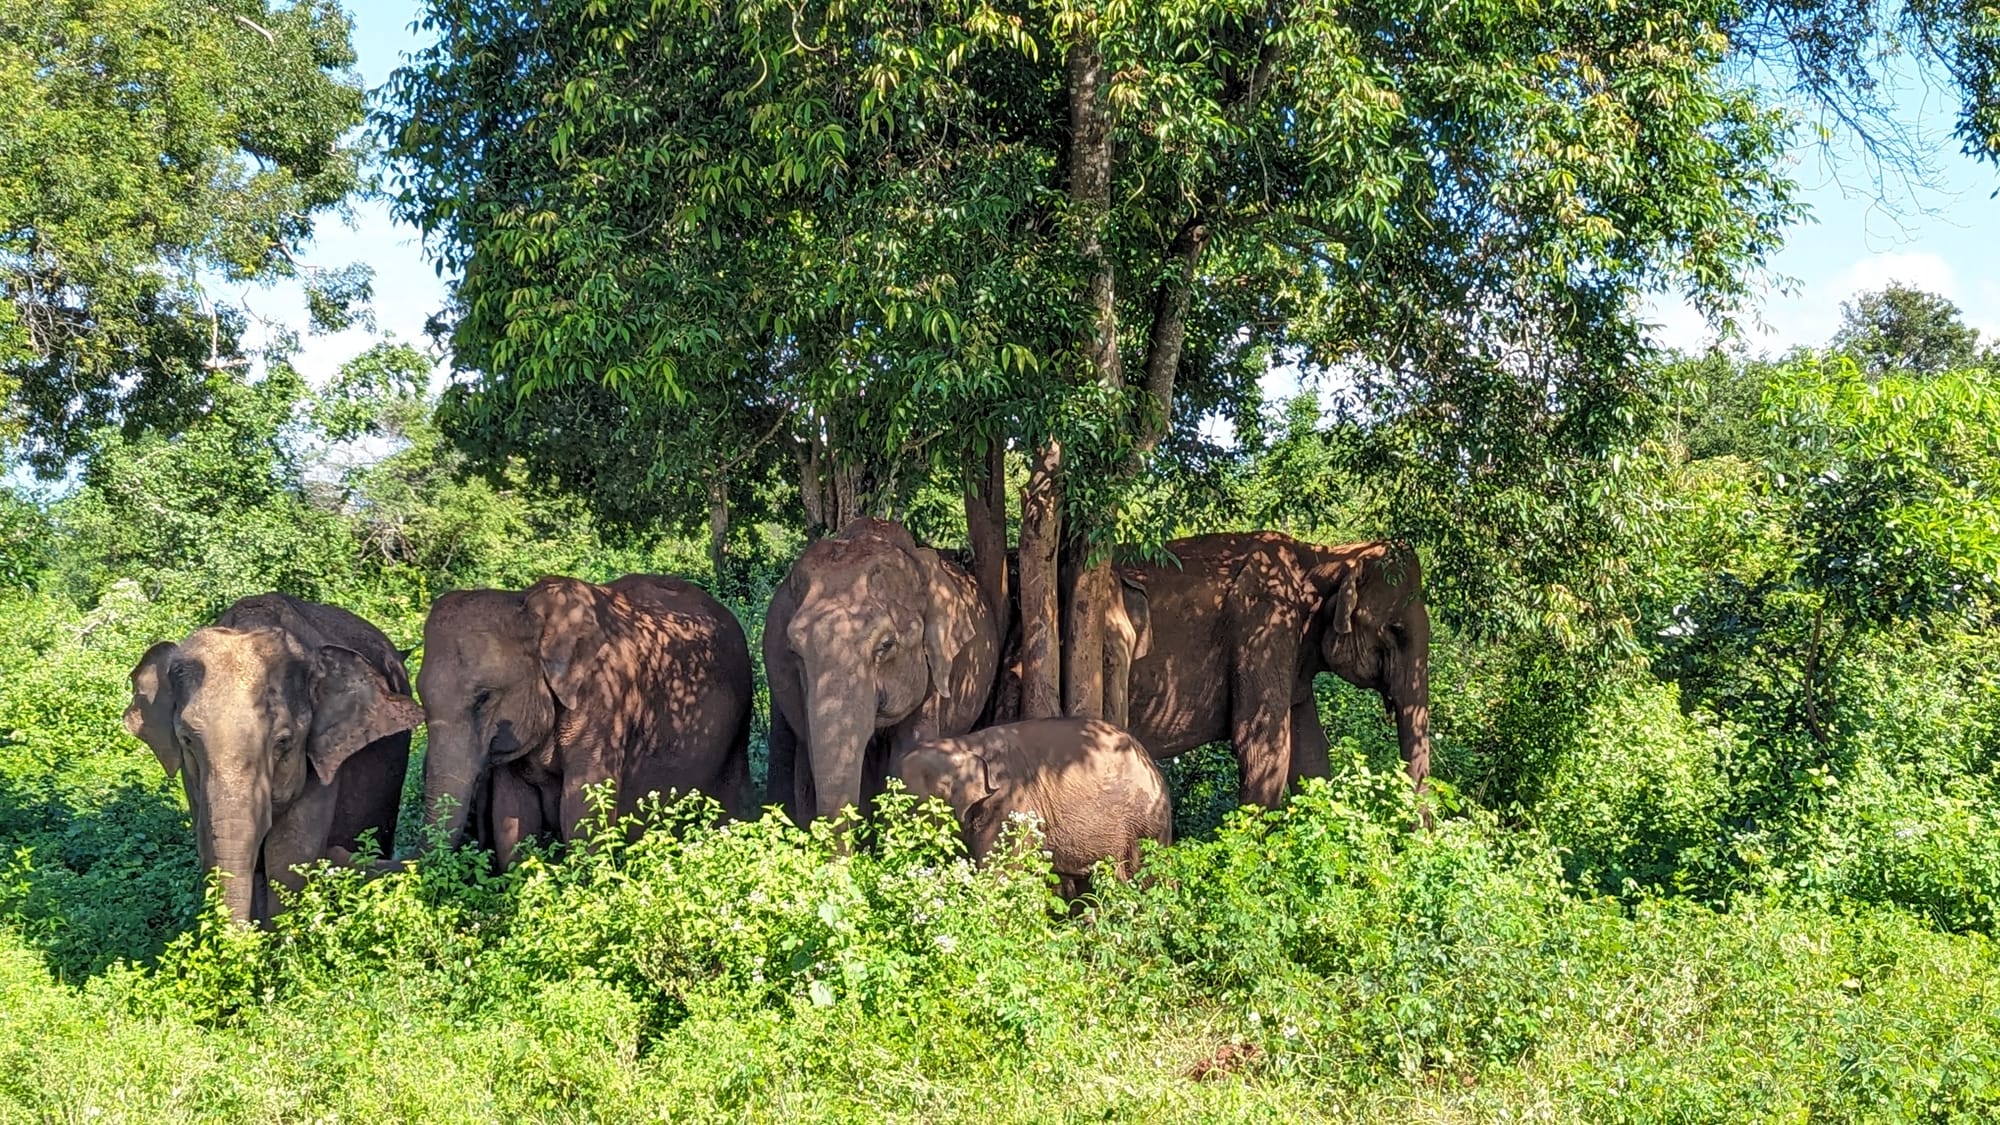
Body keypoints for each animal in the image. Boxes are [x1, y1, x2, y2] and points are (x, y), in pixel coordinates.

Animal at [123, 593, 423, 924]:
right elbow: (211, 842)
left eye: (283, 742)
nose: (337, 855)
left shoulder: (323, 760)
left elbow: (290, 852)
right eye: (188, 740)